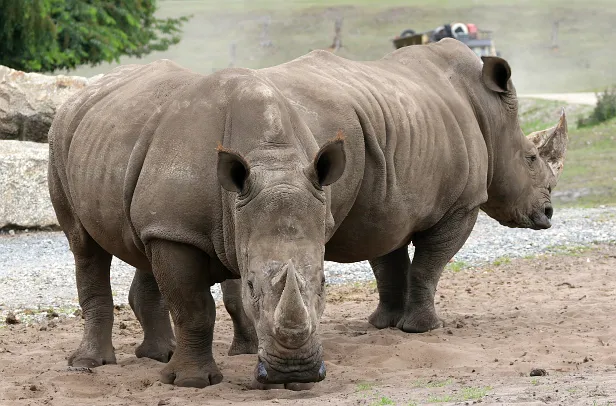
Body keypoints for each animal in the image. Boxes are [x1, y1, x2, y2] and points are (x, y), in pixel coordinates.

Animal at [48, 38, 568, 390]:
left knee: (143, 243)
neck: (483, 108)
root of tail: (84, 95)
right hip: (61, 136)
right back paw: (92, 365)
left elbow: (391, 262)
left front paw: (385, 326)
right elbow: (428, 265)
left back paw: (160, 356)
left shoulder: (383, 198)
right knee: (84, 246)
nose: (547, 212)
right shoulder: (461, 203)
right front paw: (421, 329)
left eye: (323, 284)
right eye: (532, 159)